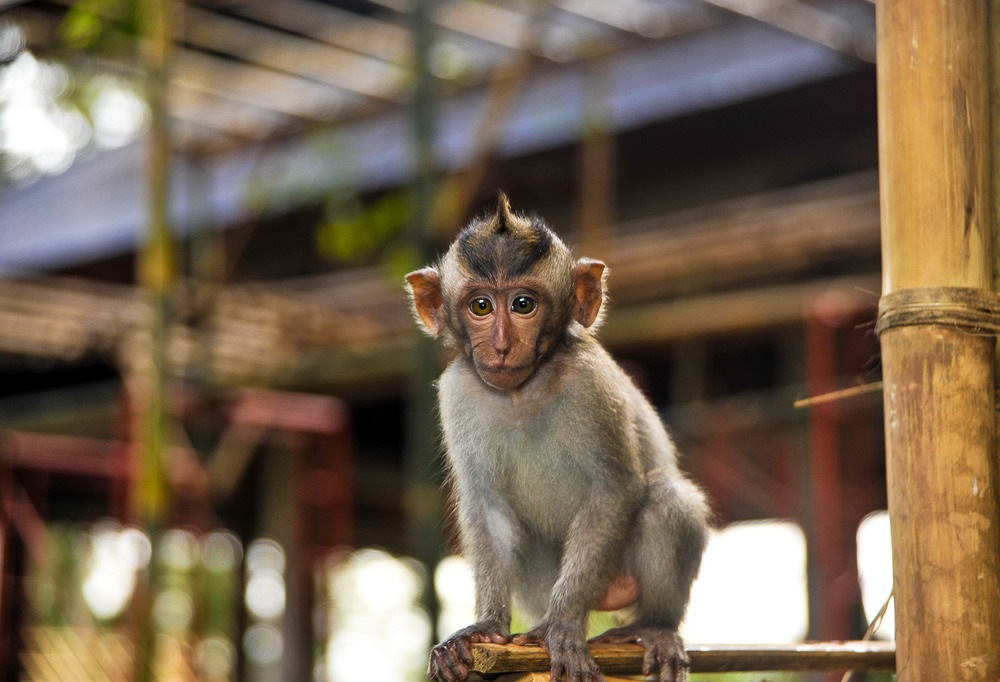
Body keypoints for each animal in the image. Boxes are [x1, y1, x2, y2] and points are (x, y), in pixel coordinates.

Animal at [408, 193, 712, 680]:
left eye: (523, 304)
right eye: (481, 307)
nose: (501, 345)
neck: (520, 392)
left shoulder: (590, 382)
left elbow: (614, 490)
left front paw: (562, 623)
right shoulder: (457, 392)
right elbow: (487, 506)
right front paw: (485, 627)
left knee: (667, 496)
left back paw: (653, 626)